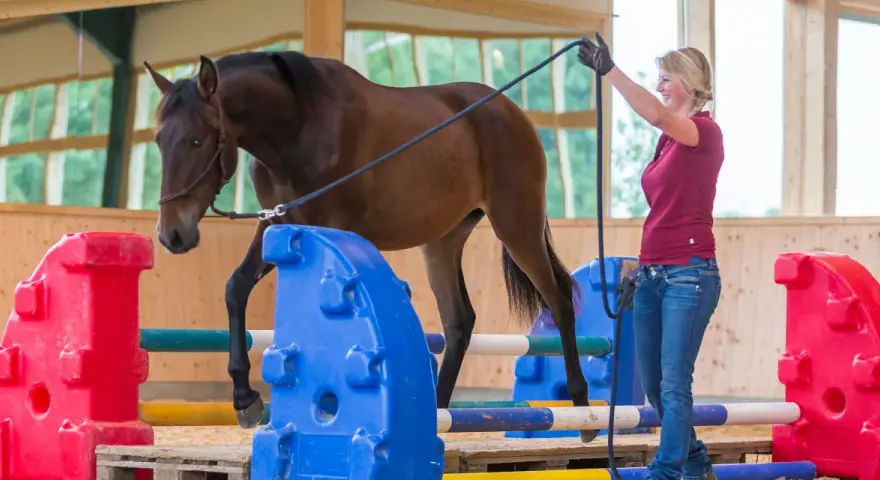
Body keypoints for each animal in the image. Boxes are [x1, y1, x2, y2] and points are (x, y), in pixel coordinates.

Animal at [143, 49, 597, 443]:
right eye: (160, 140)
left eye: (198, 141)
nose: (172, 234)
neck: (299, 124)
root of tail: (511, 112)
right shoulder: (279, 223)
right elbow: (236, 288)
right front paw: (244, 398)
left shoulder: (328, 229)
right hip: (442, 241)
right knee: (459, 321)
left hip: (517, 226)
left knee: (559, 302)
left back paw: (583, 409)